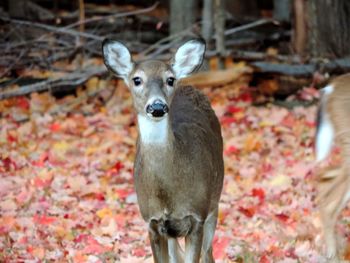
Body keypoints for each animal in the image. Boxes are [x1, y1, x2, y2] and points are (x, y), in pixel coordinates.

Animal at [101, 38, 224, 262]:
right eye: (137, 80)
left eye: (170, 79)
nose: (157, 106)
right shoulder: (152, 221)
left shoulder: (197, 216)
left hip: (214, 203)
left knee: (208, 253)